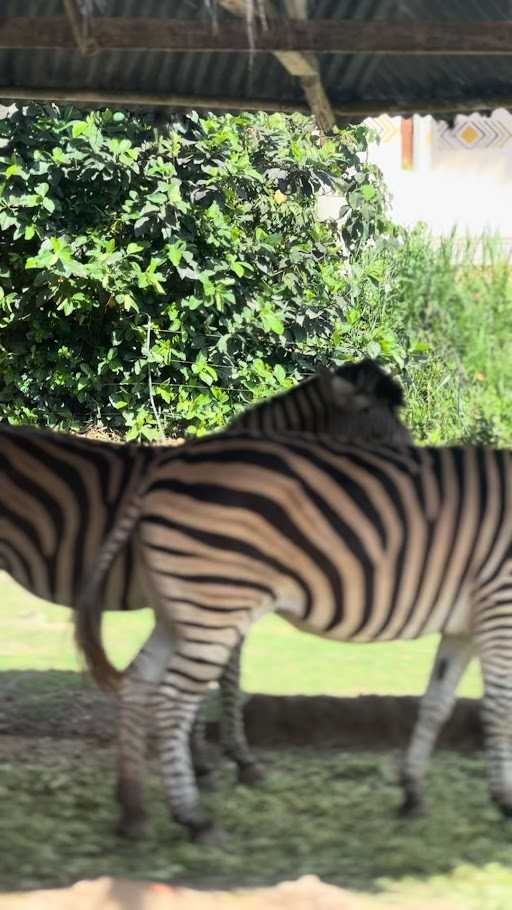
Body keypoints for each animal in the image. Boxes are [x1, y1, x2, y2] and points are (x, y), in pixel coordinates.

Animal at [75, 438, 512, 844]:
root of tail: (159, 474)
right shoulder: (498, 606)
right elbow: (499, 708)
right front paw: (504, 800)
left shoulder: (464, 626)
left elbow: (436, 705)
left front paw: (413, 793)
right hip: (215, 606)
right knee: (172, 703)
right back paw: (194, 818)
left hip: (179, 611)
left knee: (137, 683)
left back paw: (132, 811)